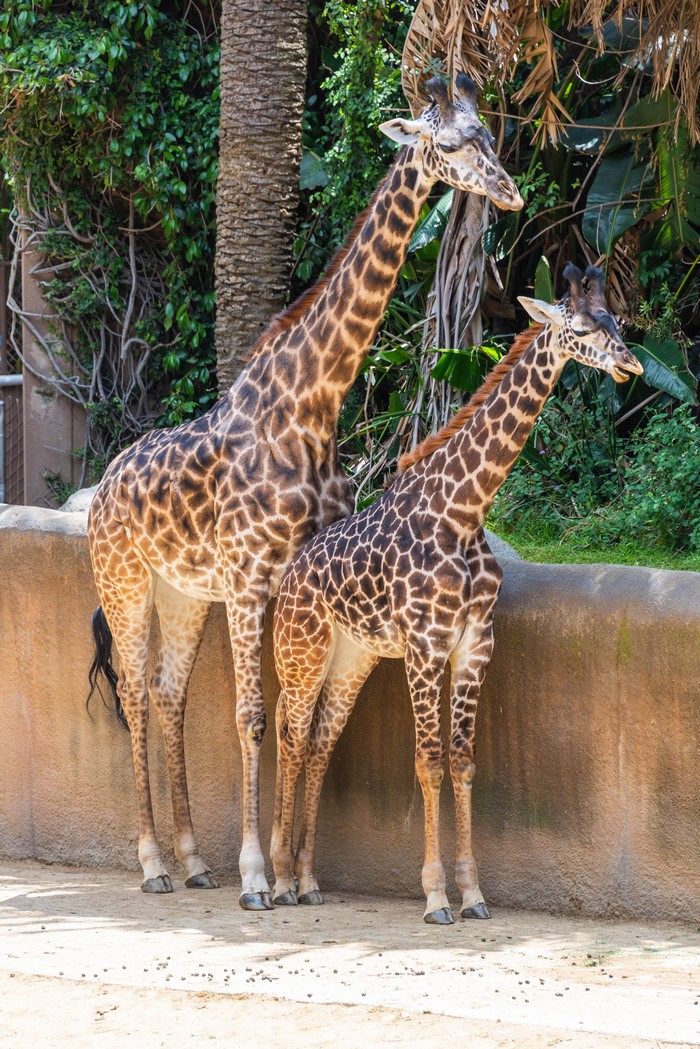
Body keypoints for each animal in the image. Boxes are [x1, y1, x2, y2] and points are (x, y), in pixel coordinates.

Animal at [86, 74, 524, 909]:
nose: (511, 192)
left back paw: (193, 859)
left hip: (182, 592)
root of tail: (100, 488)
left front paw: (284, 869)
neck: (312, 404)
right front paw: (261, 875)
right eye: (452, 144)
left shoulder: (284, 576)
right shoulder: (251, 575)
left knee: (166, 693)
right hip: (123, 579)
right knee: (131, 690)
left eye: (491, 133)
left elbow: (293, 720)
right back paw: (154, 863)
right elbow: (256, 716)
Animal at [270, 263, 643, 924]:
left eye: (617, 323)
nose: (632, 366)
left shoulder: (473, 645)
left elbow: (464, 762)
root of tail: (286, 580)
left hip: (351, 659)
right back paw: (280, 881)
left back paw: (310, 880)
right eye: (578, 328)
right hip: (302, 654)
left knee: (317, 745)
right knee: (289, 741)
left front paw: (473, 893)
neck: (464, 511)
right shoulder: (425, 645)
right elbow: (428, 762)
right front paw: (435, 895)